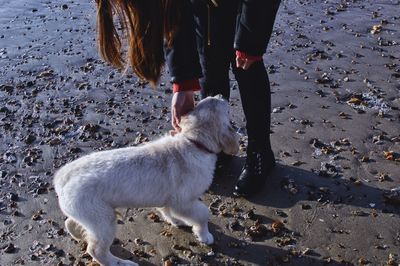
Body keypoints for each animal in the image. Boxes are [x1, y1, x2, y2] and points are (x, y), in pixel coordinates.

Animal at [54, 95, 239, 266]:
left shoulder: (170, 199)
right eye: (223, 106)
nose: (221, 96)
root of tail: (61, 178)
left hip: (88, 215)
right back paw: (121, 263)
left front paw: (176, 221)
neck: (193, 142)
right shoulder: (183, 201)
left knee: (70, 222)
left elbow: (167, 210)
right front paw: (205, 235)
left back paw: (78, 234)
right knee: (96, 249)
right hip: (102, 218)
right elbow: (202, 213)